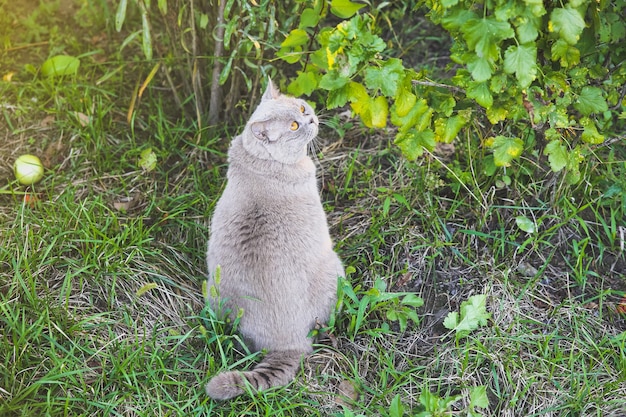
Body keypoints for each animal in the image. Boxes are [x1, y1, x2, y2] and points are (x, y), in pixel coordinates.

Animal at [204, 79, 342, 400]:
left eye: (301, 109)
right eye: (293, 126)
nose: (311, 119)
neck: (257, 161)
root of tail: (287, 344)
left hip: (213, 292)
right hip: (334, 267)